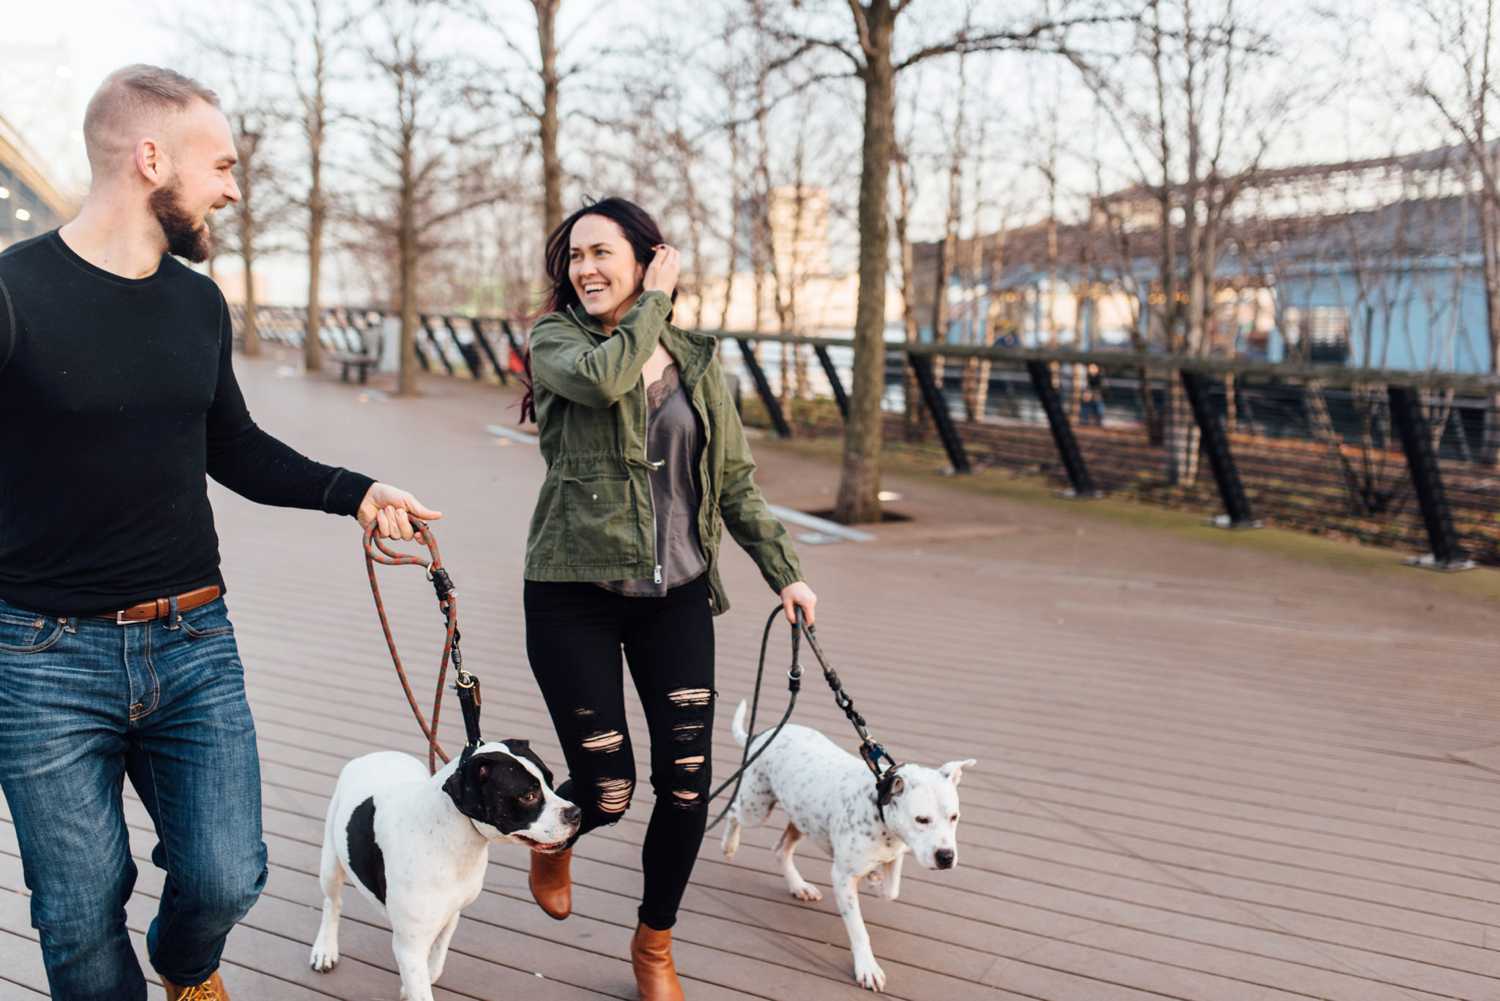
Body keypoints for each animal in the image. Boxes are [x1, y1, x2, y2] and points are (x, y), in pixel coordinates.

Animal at [310, 741, 579, 996]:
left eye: (550, 781)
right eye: (528, 796)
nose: (576, 812)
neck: (450, 840)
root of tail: (376, 755)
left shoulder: (451, 914)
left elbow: (435, 961)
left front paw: (416, 983)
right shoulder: (410, 948)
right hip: (330, 864)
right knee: (332, 903)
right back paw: (325, 949)